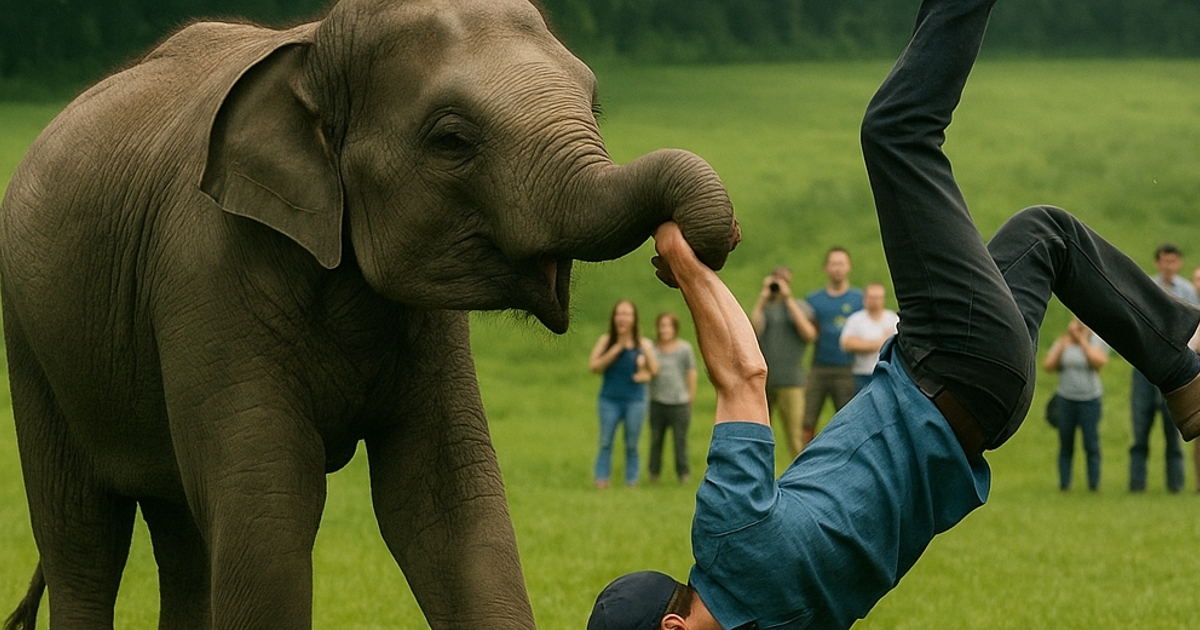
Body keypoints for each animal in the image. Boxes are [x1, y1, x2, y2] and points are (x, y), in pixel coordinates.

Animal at [0, 0, 738, 628]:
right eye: (451, 140)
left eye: (595, 104)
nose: (680, 251)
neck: (312, 47)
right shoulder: (206, 270)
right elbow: (267, 512)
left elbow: (448, 503)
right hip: (30, 339)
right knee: (83, 538)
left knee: (180, 534)